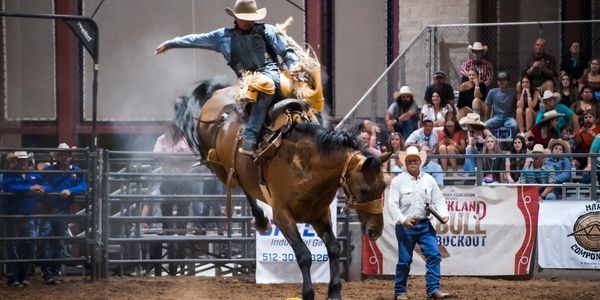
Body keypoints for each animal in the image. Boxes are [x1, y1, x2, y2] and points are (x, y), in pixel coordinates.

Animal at [173, 78, 390, 300]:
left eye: (383, 186)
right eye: (364, 190)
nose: (375, 230)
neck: (307, 164)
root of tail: (217, 96)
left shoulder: (320, 214)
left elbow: (334, 248)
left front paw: (334, 291)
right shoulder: (283, 216)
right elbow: (304, 255)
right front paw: (308, 293)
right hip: (220, 168)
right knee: (237, 182)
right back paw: (260, 220)